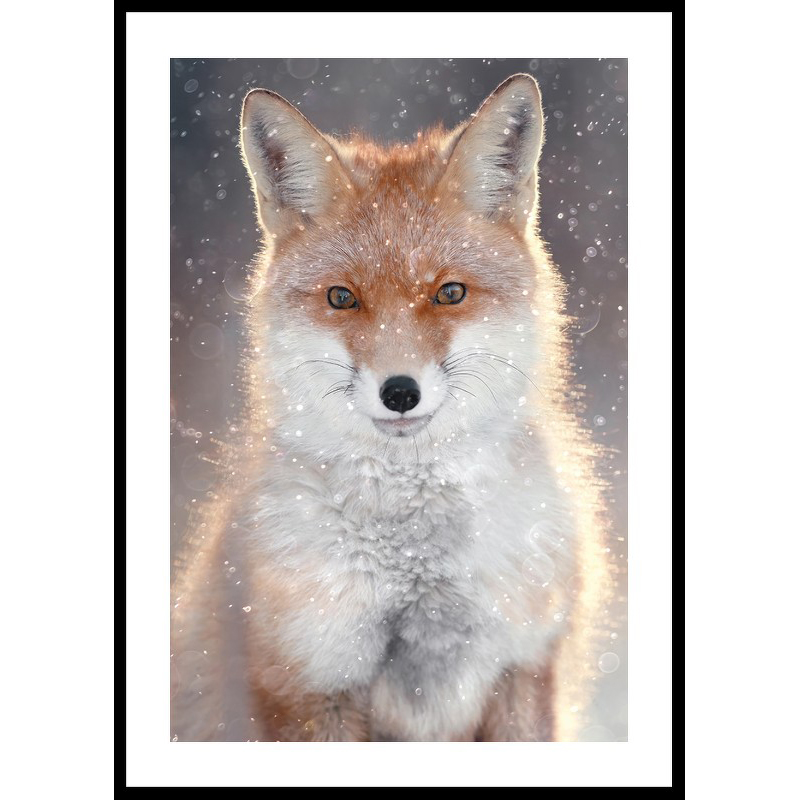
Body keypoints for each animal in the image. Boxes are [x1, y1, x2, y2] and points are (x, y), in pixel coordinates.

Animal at [170, 73, 616, 742]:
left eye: (450, 292)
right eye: (341, 298)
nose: (400, 392)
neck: (416, 563)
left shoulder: (524, 666)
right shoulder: (309, 681)